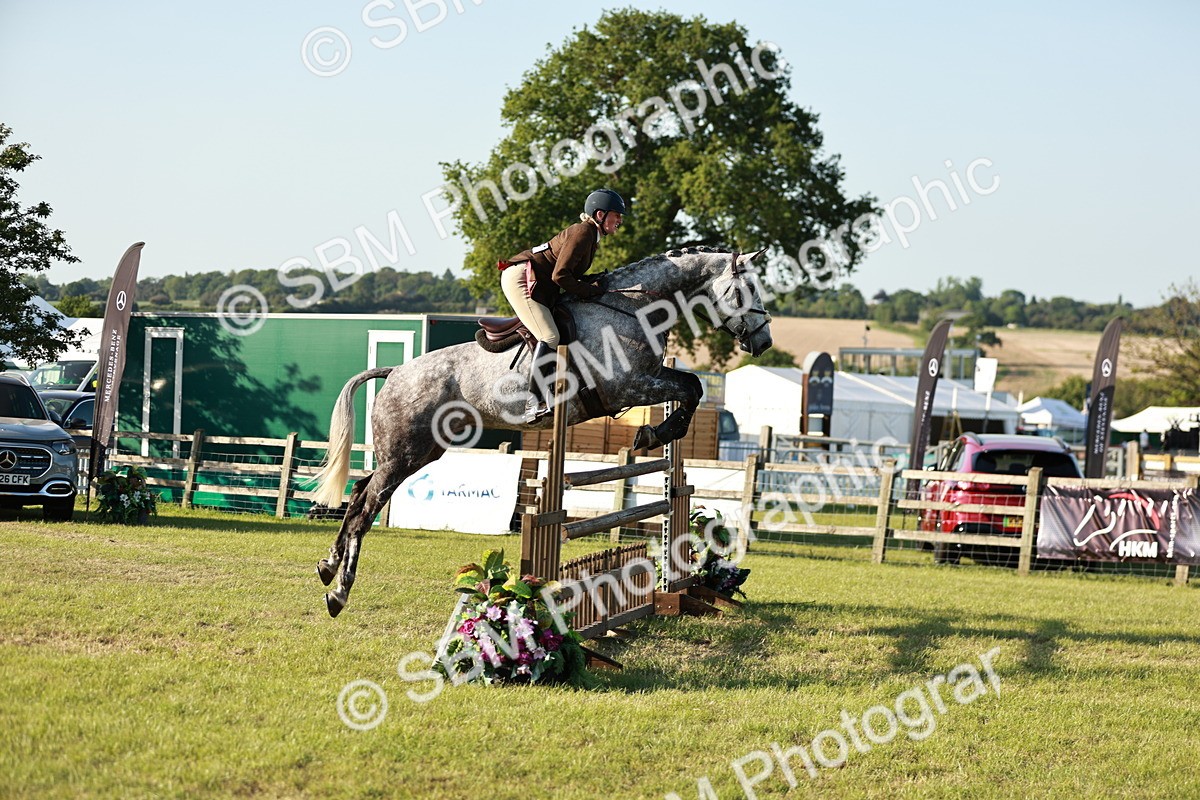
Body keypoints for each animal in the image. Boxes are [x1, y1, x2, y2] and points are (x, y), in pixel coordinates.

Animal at [311, 245, 773, 616]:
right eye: (747, 291)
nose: (765, 343)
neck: (633, 310)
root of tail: (395, 372)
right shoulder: (628, 385)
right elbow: (691, 387)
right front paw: (654, 435)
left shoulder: (649, 378)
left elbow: (691, 385)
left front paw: (657, 434)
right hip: (405, 452)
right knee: (366, 509)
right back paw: (339, 592)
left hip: (419, 452)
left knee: (359, 493)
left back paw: (327, 566)